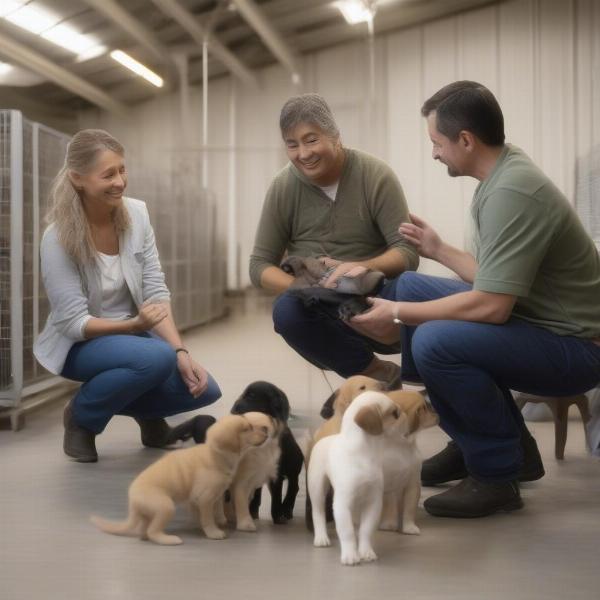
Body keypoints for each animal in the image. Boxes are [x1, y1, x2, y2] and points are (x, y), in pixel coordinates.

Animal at [91, 414, 272, 548]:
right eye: (247, 428)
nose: (265, 429)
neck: (215, 455)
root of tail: (132, 501)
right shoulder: (205, 497)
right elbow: (207, 518)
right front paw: (214, 533)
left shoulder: (216, 494)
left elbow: (217, 509)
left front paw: (220, 521)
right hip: (165, 506)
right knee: (153, 531)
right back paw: (169, 539)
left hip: (150, 511)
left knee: (145, 529)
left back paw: (146, 536)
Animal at [231, 382, 304, 524]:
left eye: (251, 396)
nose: (234, 408)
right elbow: (256, 493)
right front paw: (251, 511)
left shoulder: (277, 472)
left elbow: (276, 496)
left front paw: (278, 515)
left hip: (294, 465)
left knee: (294, 486)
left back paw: (287, 509)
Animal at [308, 392, 400, 564]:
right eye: (394, 413)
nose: (404, 414)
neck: (365, 454)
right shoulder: (342, 505)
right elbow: (348, 533)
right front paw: (350, 555)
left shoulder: (373, 502)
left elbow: (366, 530)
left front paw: (366, 552)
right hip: (317, 489)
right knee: (318, 513)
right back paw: (321, 537)